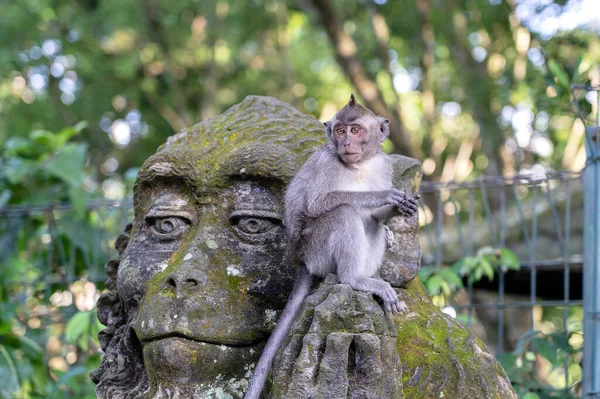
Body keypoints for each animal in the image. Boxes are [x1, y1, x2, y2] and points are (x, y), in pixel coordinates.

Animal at [243, 94, 418, 399]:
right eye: (340, 130)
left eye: (355, 130)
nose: (345, 143)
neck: (359, 165)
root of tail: (302, 261)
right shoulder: (327, 162)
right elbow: (317, 204)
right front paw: (383, 195)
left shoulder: (383, 164)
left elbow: (376, 217)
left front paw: (398, 211)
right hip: (317, 250)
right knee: (344, 212)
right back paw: (354, 279)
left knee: (371, 223)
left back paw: (368, 276)